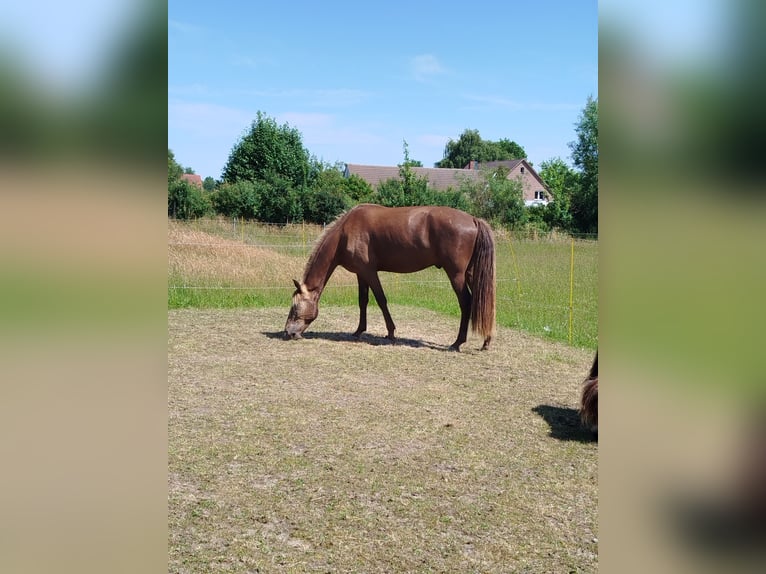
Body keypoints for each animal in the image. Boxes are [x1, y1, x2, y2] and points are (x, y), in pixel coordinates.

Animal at [284, 203, 496, 351]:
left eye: (295, 307)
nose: (288, 332)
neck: (344, 233)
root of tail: (473, 220)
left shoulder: (369, 272)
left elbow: (381, 300)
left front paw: (391, 333)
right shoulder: (361, 274)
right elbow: (363, 301)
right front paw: (359, 330)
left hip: (457, 275)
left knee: (466, 302)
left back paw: (457, 342)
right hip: (471, 274)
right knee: (485, 302)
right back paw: (486, 341)